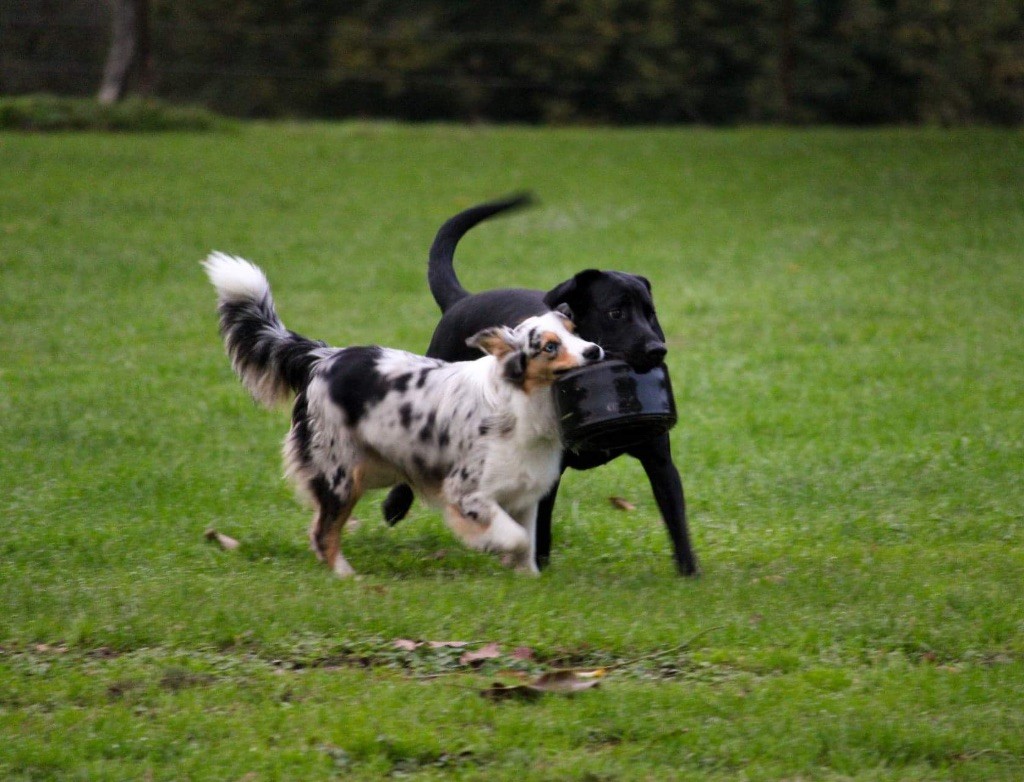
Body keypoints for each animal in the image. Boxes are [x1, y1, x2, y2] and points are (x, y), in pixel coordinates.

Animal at [380, 195, 700, 573]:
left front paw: (690, 573)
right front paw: (539, 567)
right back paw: (396, 504)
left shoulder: (659, 460)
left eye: (651, 314)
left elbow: (676, 519)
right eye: (615, 313)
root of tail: (461, 299)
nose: (656, 349)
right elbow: (540, 525)